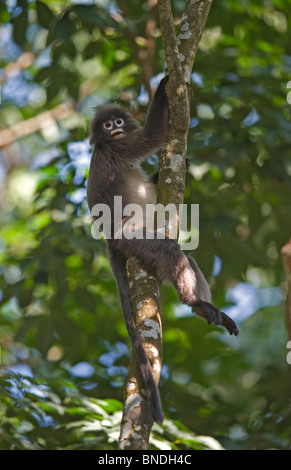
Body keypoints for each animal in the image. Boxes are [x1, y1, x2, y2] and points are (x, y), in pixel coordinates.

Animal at [87, 74, 240, 426]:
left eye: (118, 121)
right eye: (107, 125)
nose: (115, 128)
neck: (104, 144)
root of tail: (109, 239)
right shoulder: (115, 146)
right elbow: (154, 135)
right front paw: (164, 85)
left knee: (187, 257)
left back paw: (207, 310)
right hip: (131, 237)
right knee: (170, 251)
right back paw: (195, 303)